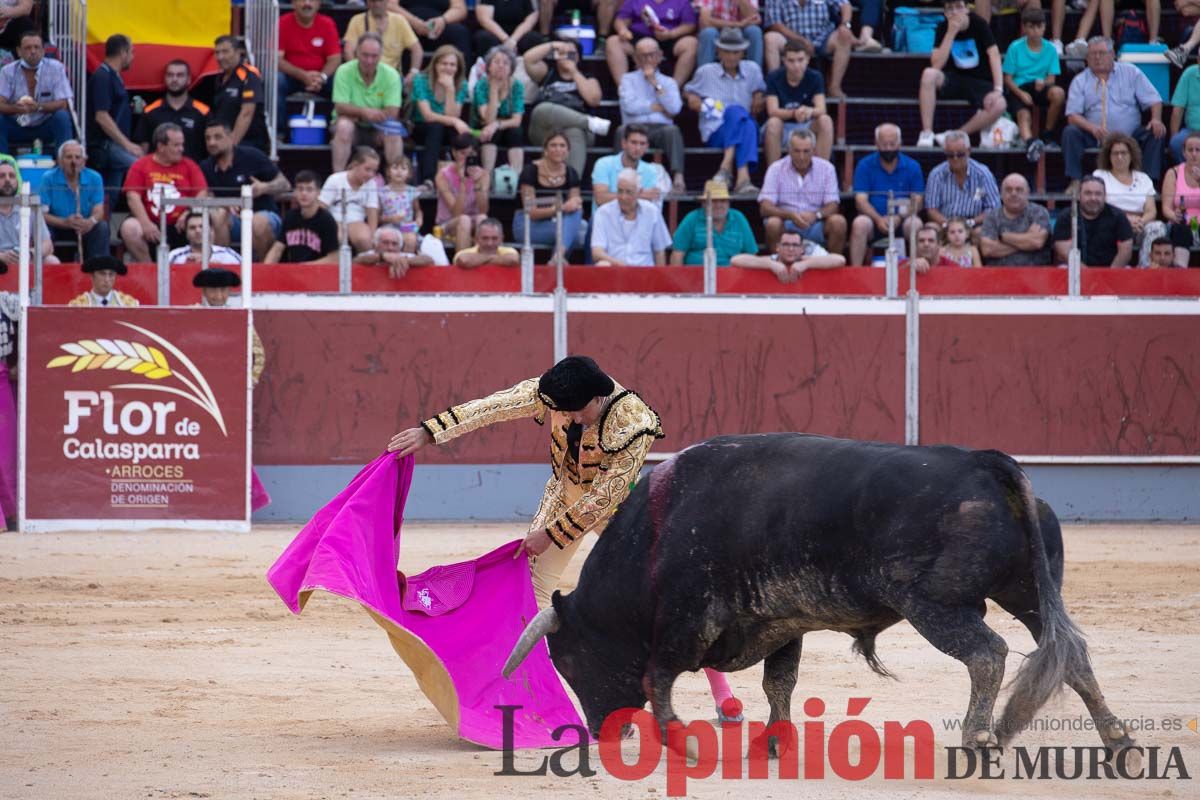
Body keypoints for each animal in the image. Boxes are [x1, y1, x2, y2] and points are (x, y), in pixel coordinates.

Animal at [504, 434, 1132, 753]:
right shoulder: (780, 622)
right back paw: (1116, 737)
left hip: (936, 606)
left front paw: (681, 741)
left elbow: (660, 677)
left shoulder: (685, 624)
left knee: (987, 653)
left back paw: (982, 737)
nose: (601, 731)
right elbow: (778, 682)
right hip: (1030, 594)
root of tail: (986, 463)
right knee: (1070, 654)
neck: (657, 533)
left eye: (569, 662)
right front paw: (773, 742)